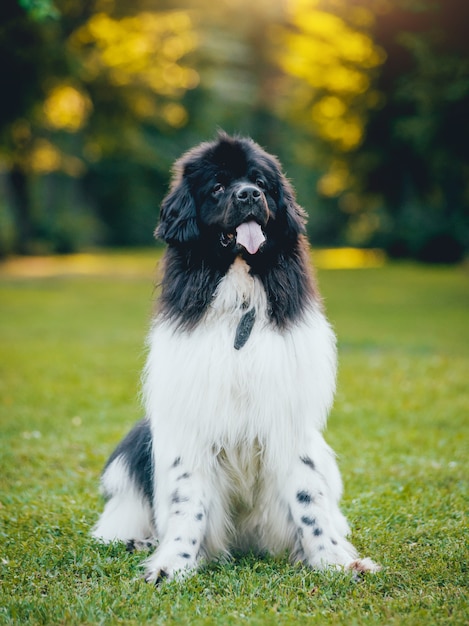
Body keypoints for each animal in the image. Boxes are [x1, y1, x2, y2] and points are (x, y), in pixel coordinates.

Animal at [92, 132, 380, 580]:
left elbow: (307, 498)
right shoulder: (192, 421)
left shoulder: (289, 420)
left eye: (259, 182)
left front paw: (333, 560)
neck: (240, 298)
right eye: (217, 187)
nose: (249, 194)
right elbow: (188, 501)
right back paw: (141, 540)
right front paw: (173, 563)